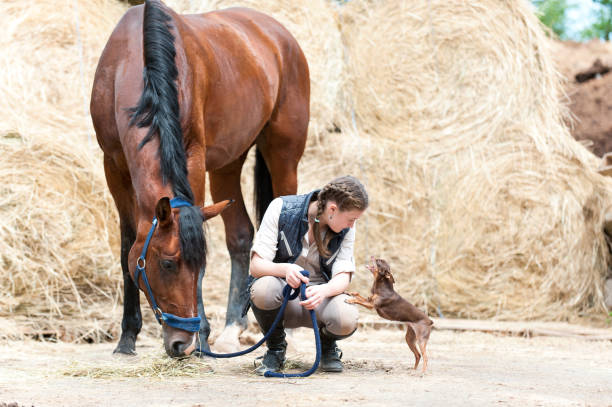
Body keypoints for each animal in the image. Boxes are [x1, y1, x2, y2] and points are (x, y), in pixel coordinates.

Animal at [91, 0, 308, 356]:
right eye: (167, 264)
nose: (183, 342)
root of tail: (279, 35)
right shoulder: (114, 165)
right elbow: (126, 246)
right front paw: (127, 337)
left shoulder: (193, 156)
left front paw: (203, 336)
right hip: (227, 163)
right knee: (241, 235)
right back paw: (232, 327)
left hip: (283, 155)